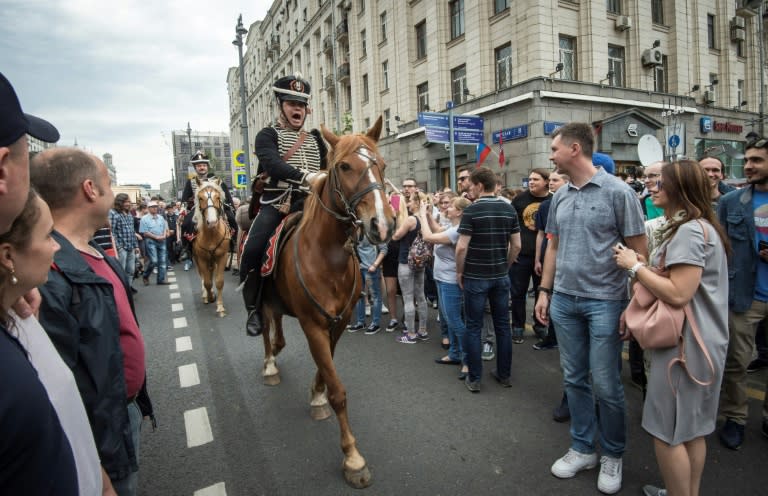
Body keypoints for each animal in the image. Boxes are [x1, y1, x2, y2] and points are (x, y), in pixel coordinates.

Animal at [190, 178, 230, 318]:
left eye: (217, 197)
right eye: (200, 198)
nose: (212, 222)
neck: (212, 234)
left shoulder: (222, 256)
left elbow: (219, 281)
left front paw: (220, 307)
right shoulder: (201, 258)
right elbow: (207, 282)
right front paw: (210, 296)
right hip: (197, 258)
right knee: (203, 276)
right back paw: (205, 295)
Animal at [260, 117, 392, 488]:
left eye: (382, 164)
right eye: (344, 166)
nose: (382, 225)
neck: (327, 255)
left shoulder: (339, 322)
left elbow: (327, 369)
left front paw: (316, 394)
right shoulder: (312, 324)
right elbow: (338, 391)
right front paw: (353, 458)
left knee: (276, 323)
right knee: (263, 323)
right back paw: (269, 364)